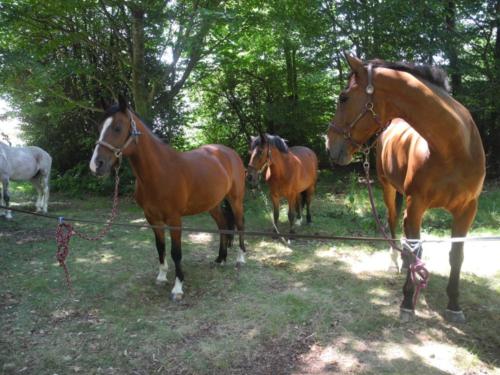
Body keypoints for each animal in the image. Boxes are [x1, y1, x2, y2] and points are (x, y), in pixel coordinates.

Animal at [91, 97, 247, 302]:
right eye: (100, 126)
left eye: (117, 127)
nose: (96, 165)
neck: (159, 172)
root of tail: (229, 152)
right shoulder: (152, 218)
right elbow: (160, 247)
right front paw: (162, 276)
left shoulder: (174, 220)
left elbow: (176, 252)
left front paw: (178, 287)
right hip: (212, 204)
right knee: (222, 226)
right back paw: (220, 259)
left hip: (236, 200)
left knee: (240, 225)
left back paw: (240, 259)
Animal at [326, 53, 486, 324]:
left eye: (343, 97)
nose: (329, 145)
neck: (453, 148)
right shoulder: (416, 205)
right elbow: (413, 250)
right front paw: (407, 302)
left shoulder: (467, 211)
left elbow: (456, 255)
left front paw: (454, 304)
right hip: (389, 190)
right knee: (393, 223)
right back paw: (395, 262)